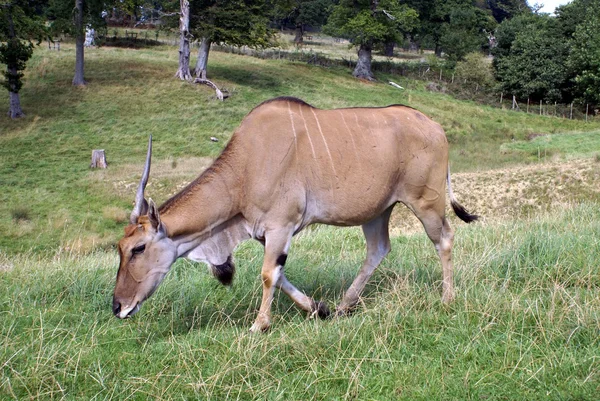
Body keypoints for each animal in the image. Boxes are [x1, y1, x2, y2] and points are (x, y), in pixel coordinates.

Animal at [112, 96, 478, 332]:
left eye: (139, 248)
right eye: (120, 248)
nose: (117, 306)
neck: (245, 166)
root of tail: (436, 127)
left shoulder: (280, 226)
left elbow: (268, 275)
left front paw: (259, 325)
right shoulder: (268, 233)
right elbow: (280, 275)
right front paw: (318, 308)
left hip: (425, 202)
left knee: (444, 238)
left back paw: (447, 299)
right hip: (378, 211)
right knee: (378, 249)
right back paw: (343, 306)